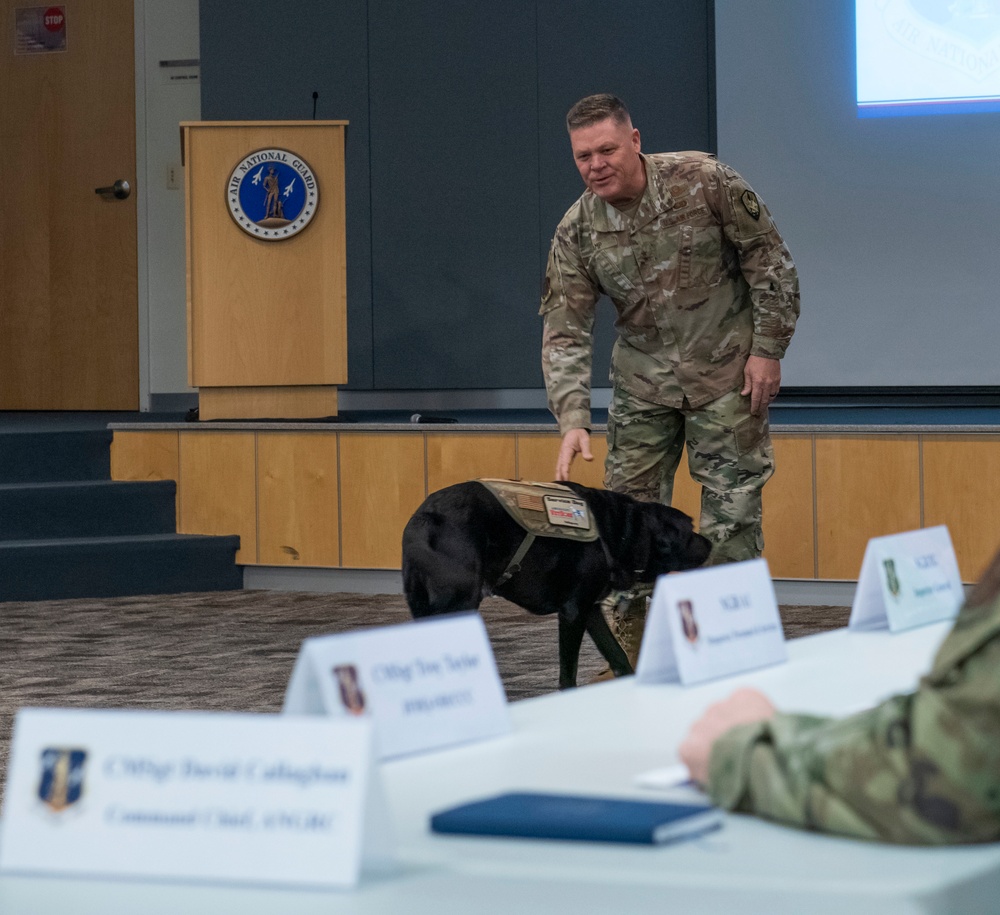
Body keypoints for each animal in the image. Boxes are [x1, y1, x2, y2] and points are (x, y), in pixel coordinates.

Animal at [398, 484, 712, 692]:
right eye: (689, 530)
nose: (709, 543)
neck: (620, 530)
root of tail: (424, 519)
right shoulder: (573, 611)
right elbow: (568, 675)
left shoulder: (589, 609)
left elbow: (619, 657)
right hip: (458, 607)